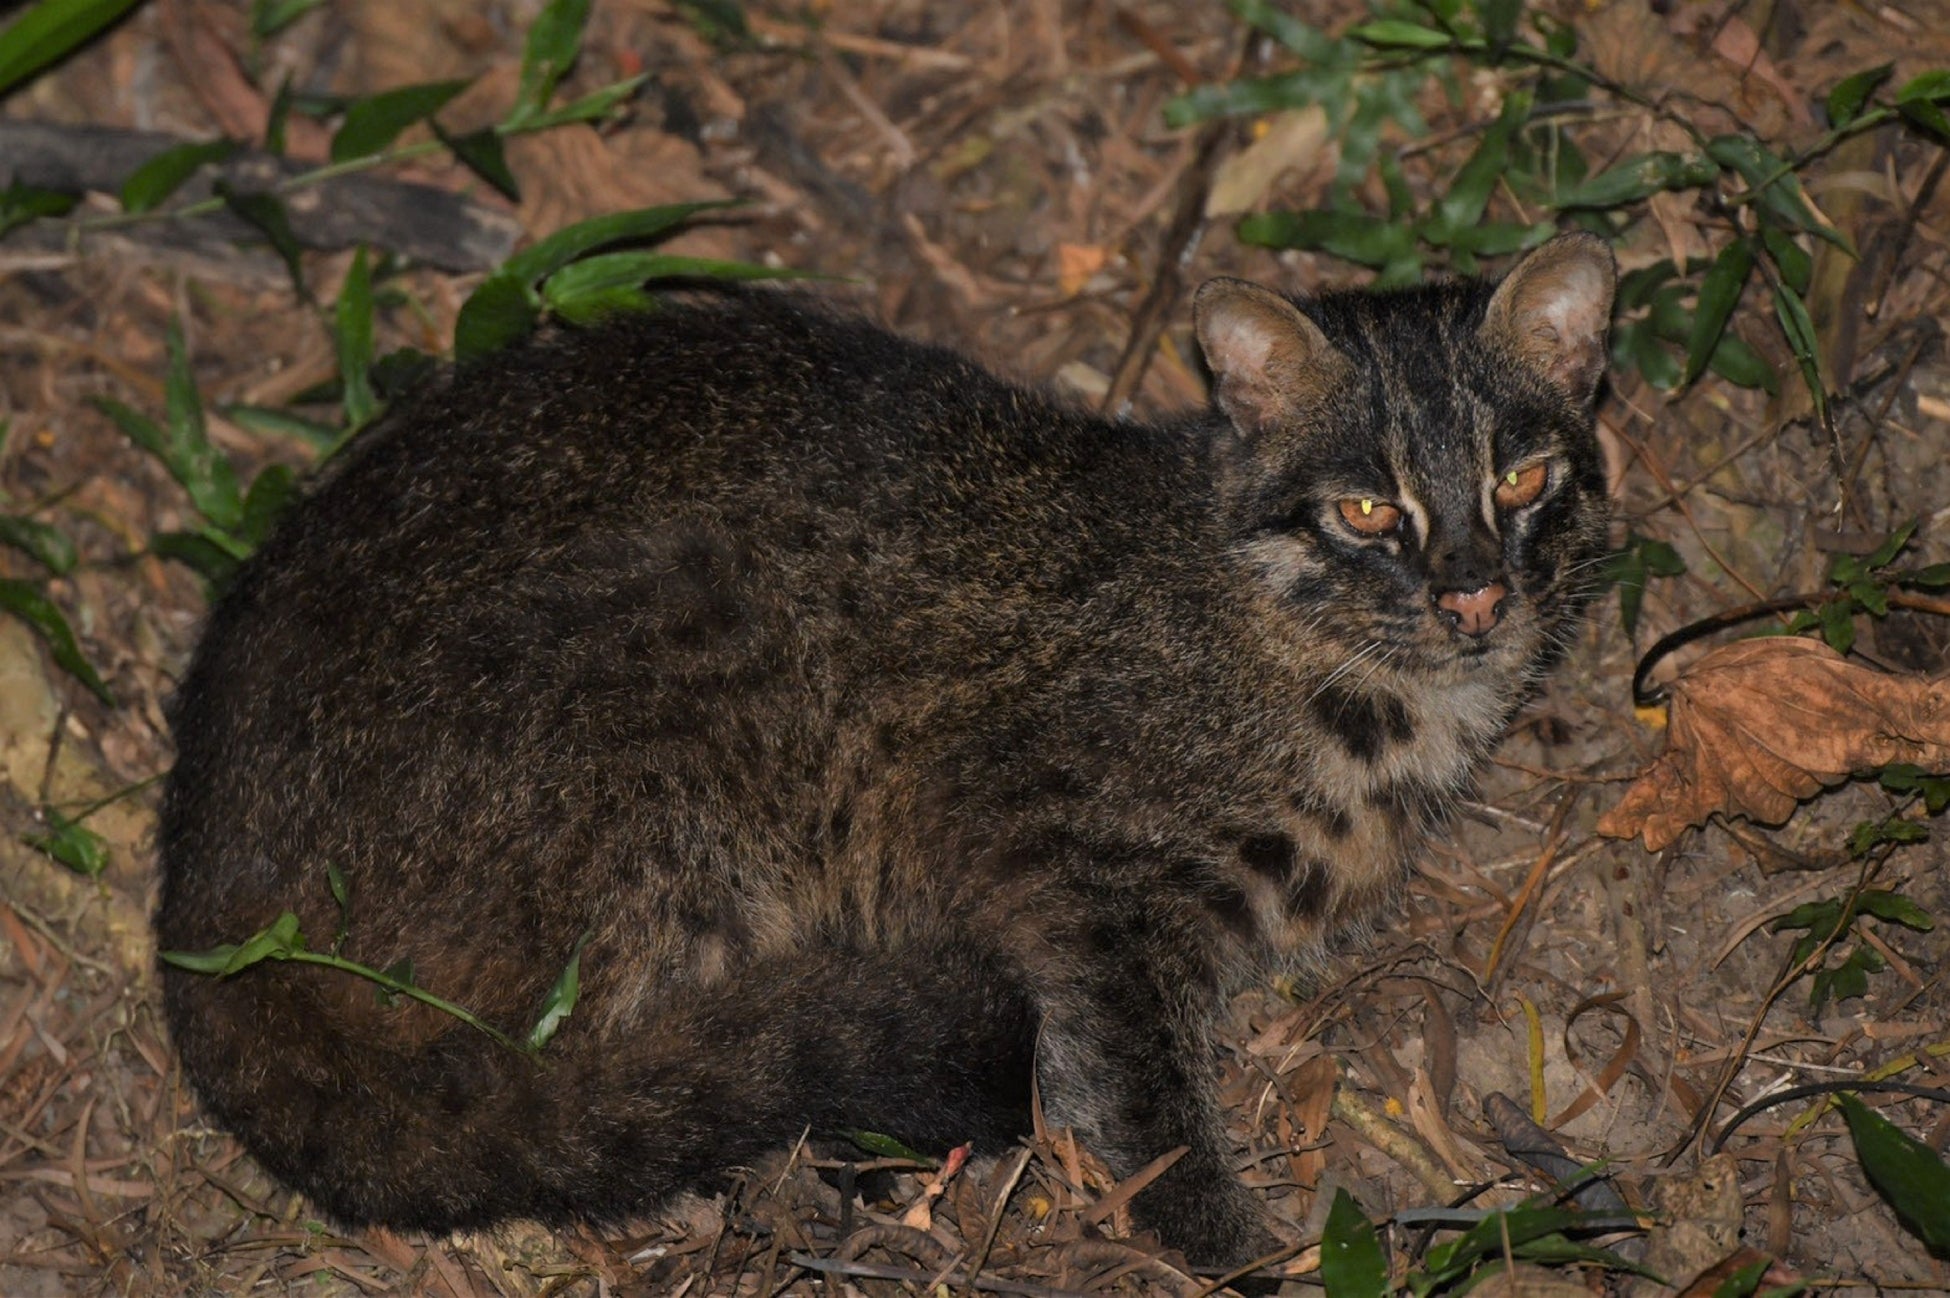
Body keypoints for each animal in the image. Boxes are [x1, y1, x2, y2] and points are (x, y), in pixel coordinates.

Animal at [156, 227, 1614, 1255]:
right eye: (1365, 509)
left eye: (1524, 478)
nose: (1475, 594)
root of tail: (200, 899)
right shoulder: (1056, 854)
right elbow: (1141, 1092)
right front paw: (1227, 1241)